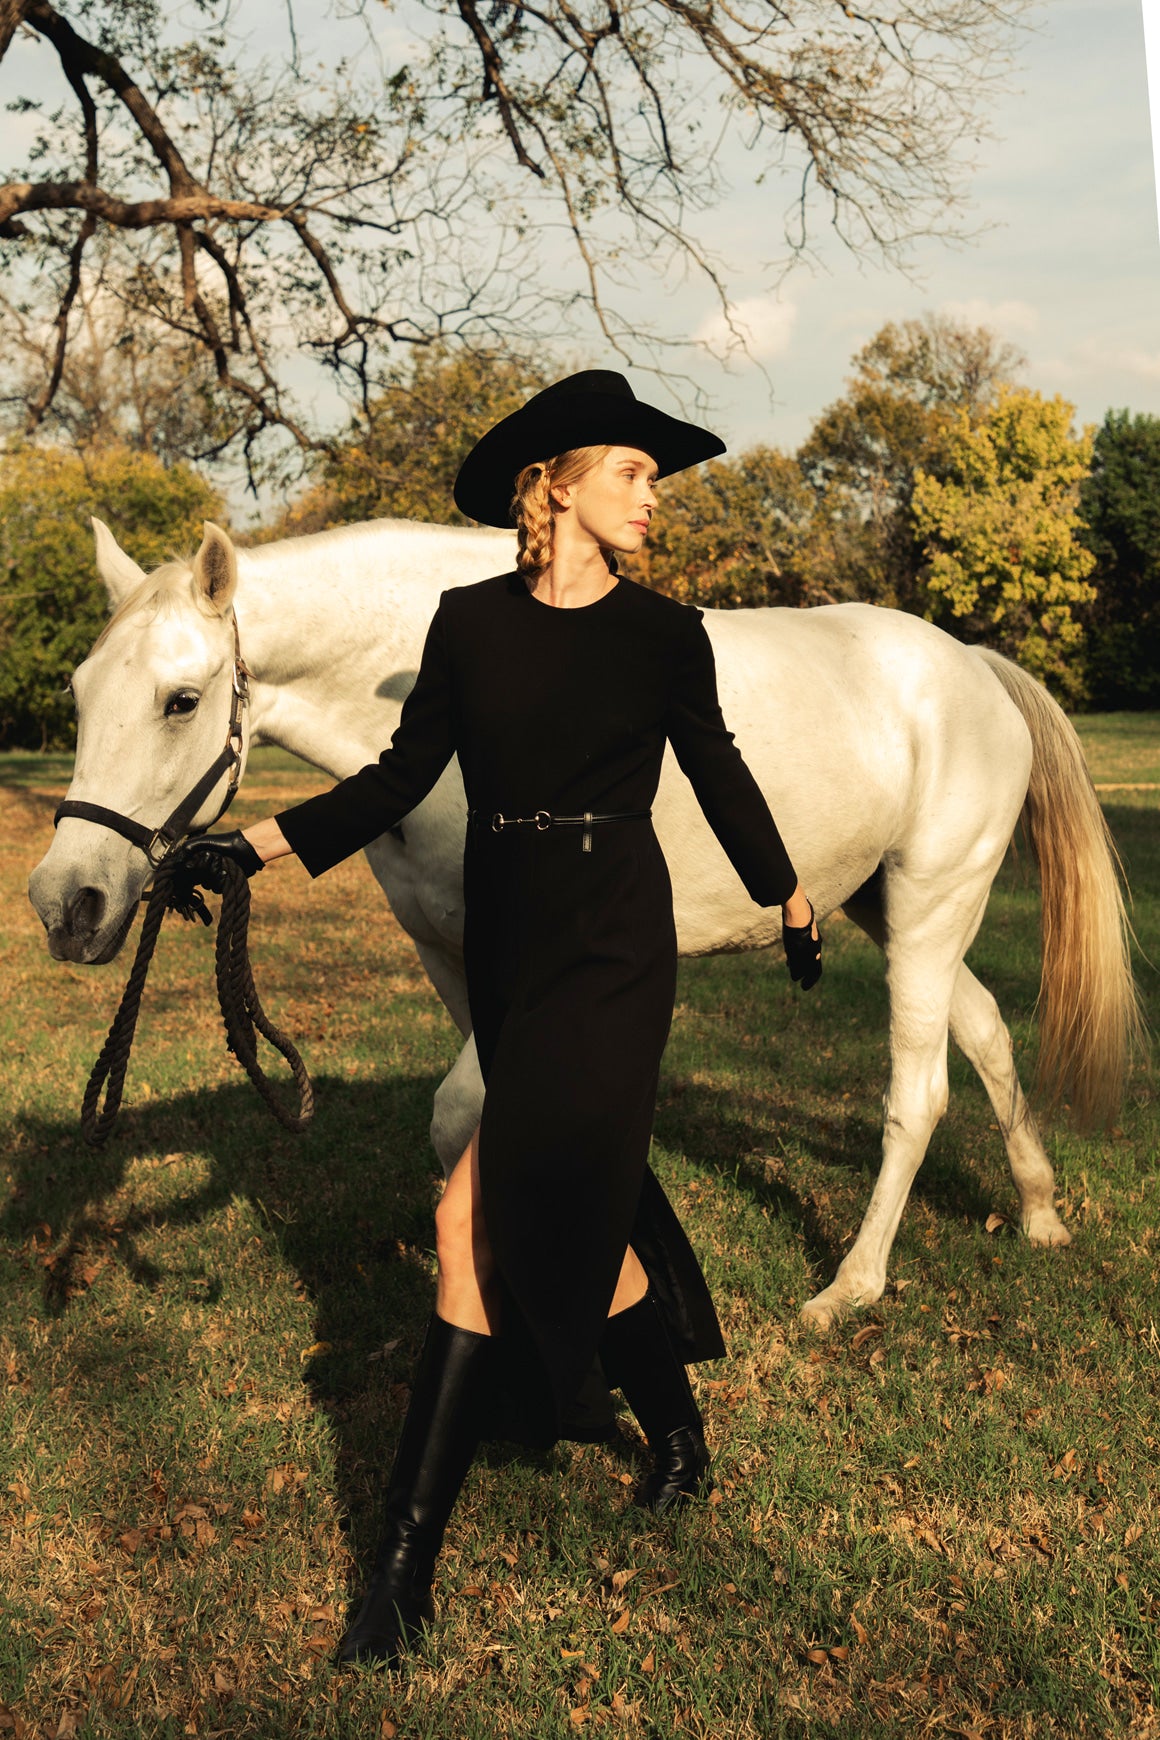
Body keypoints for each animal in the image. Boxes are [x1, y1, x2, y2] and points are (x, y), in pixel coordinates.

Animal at [27, 518, 1142, 1328]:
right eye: (78, 692)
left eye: (181, 700)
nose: (65, 902)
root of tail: (974, 668)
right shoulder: (451, 960)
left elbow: (467, 1112)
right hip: (893, 910)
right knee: (988, 1034)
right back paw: (1040, 1213)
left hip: (928, 907)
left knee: (918, 1094)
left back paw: (849, 1290)